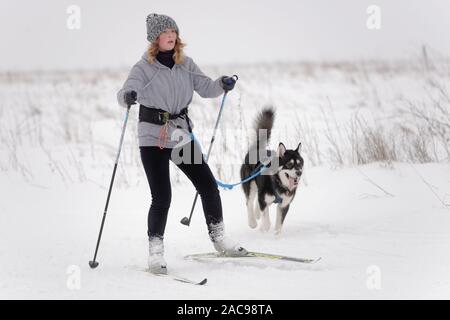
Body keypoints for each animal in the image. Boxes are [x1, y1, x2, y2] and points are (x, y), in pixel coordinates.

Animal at [239, 106, 302, 234]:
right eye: (289, 164)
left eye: (299, 164)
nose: (299, 173)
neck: (278, 183)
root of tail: (257, 148)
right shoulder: (264, 200)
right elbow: (266, 220)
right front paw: (265, 227)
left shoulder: (284, 205)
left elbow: (279, 224)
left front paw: (276, 234)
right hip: (250, 186)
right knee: (249, 203)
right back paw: (253, 222)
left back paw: (257, 214)